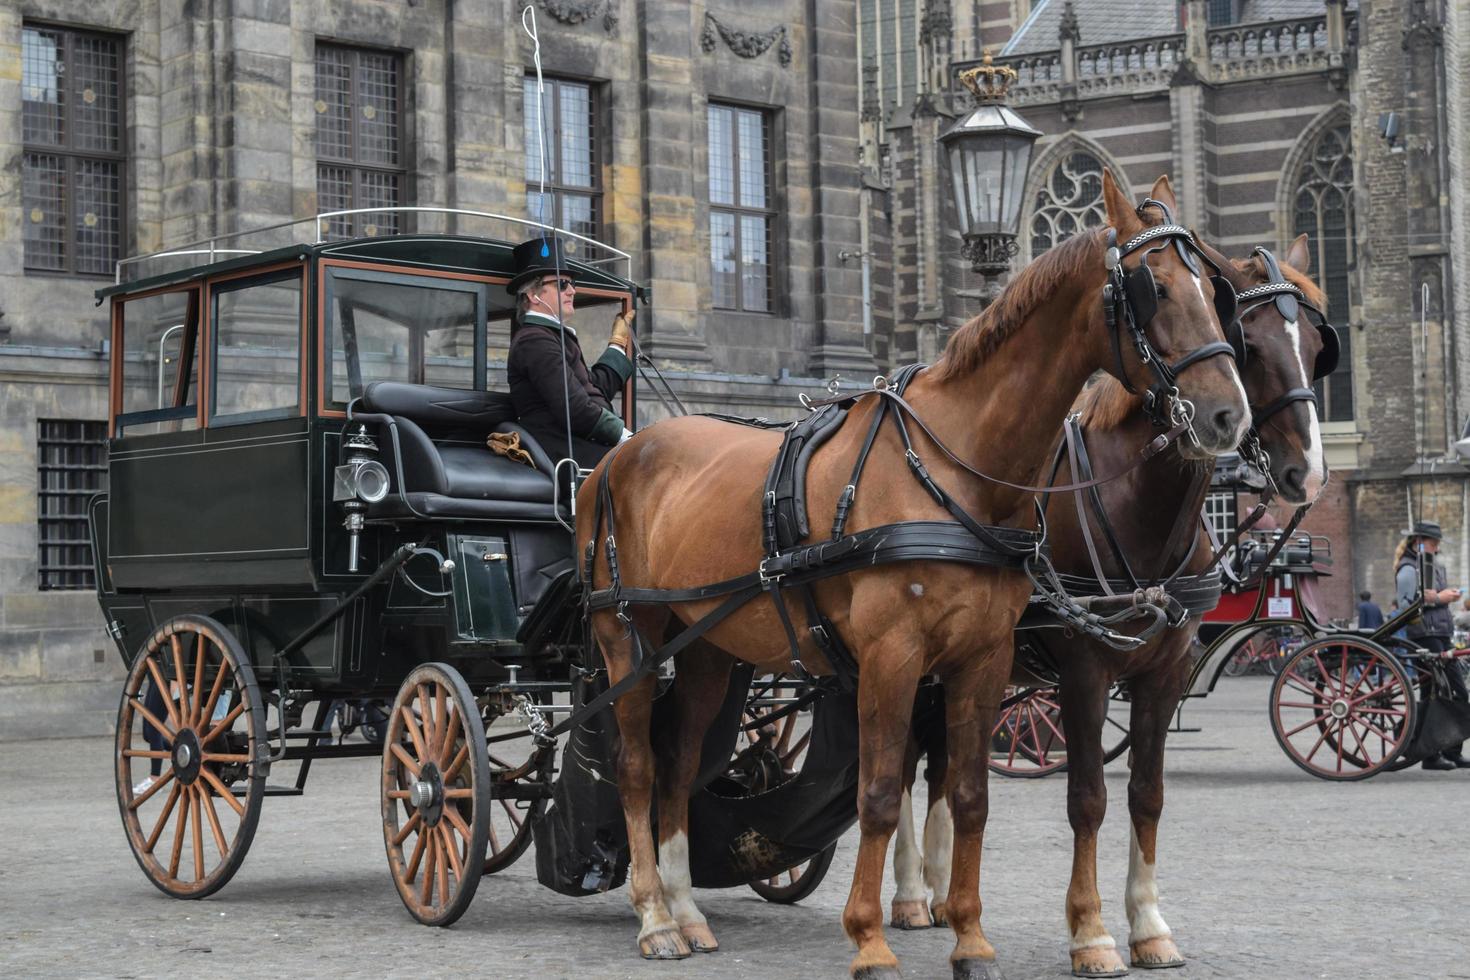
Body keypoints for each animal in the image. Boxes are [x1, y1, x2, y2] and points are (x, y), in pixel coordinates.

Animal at [573, 176, 1252, 980]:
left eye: (1215, 291)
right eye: (1156, 288)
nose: (1227, 416)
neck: (958, 466)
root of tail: (621, 454)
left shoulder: (984, 659)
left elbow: (970, 795)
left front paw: (971, 940)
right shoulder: (898, 656)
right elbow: (879, 793)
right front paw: (870, 940)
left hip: (708, 646)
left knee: (680, 767)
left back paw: (686, 910)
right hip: (628, 636)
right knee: (638, 767)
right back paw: (653, 917)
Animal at [882, 233, 1334, 975]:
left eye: (1318, 346)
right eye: (1249, 343)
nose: (1309, 471)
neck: (1133, 502)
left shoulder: (1163, 674)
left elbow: (1146, 796)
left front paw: (1150, 927)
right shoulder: (1084, 673)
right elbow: (1087, 799)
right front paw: (1091, 934)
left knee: (945, 765)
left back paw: (945, 895)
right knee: (906, 764)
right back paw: (913, 894)